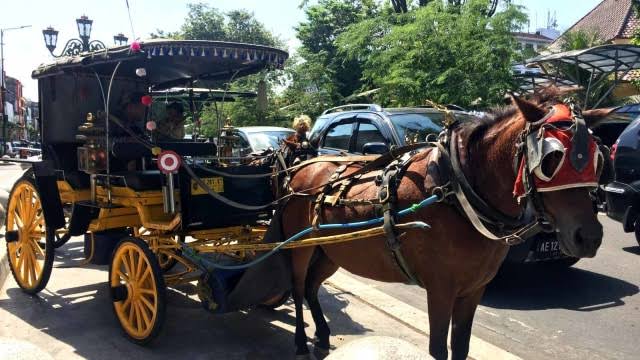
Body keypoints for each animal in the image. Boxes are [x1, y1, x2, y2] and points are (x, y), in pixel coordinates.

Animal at [276, 93, 608, 360]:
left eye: (598, 157)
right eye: (552, 158)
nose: (589, 237)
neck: (457, 191)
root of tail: (300, 169)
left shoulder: (474, 290)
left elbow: (460, 347)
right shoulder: (440, 289)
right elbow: (438, 348)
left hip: (329, 251)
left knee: (311, 287)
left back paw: (322, 335)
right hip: (299, 248)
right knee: (297, 287)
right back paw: (301, 343)